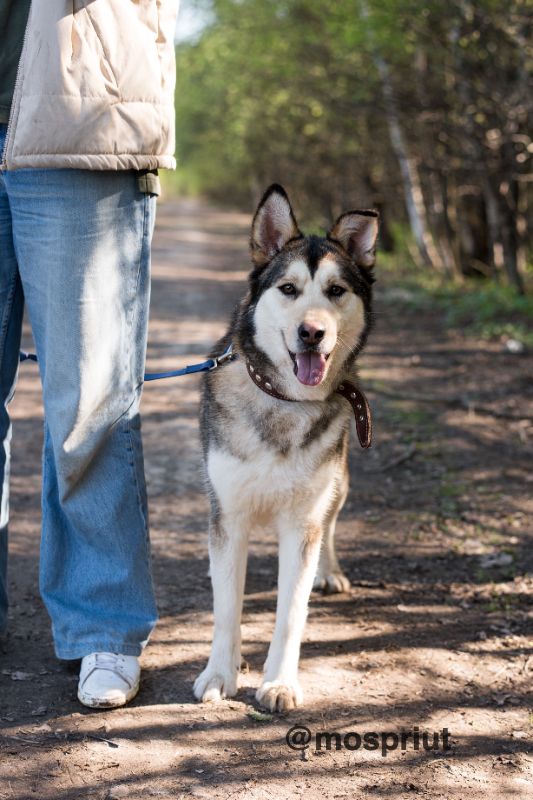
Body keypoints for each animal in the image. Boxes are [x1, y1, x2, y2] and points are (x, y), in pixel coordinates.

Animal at [194, 184, 378, 708]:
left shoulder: (303, 521)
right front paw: (220, 673)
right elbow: (226, 609)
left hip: (338, 484)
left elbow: (291, 612)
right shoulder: (227, 515)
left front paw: (279, 681)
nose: (311, 332)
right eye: (289, 289)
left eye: (336, 291)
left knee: (330, 525)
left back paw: (329, 572)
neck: (285, 402)